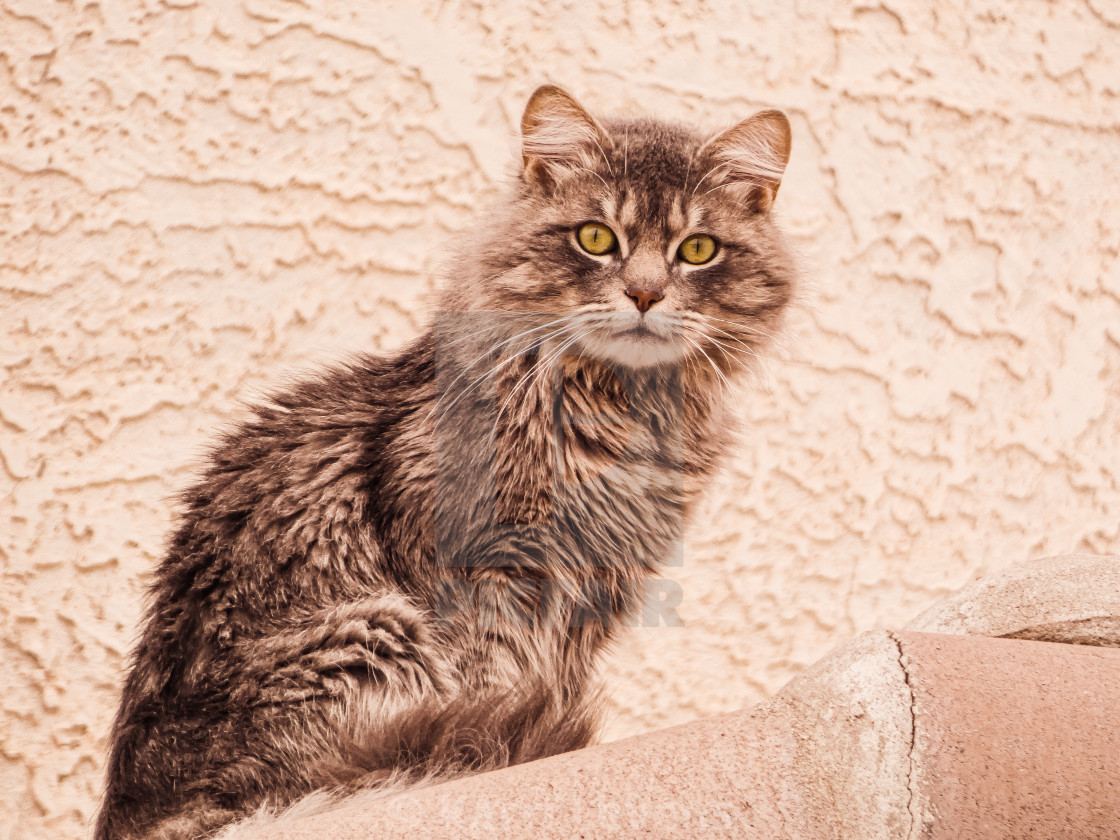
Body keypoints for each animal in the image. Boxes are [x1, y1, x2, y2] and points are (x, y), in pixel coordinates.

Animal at [94, 85, 797, 840]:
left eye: (697, 250)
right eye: (596, 239)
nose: (643, 295)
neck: (618, 416)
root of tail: (137, 812)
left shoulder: (593, 594)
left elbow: (543, 684)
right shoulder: (483, 577)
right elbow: (496, 684)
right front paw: (506, 769)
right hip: (375, 632)